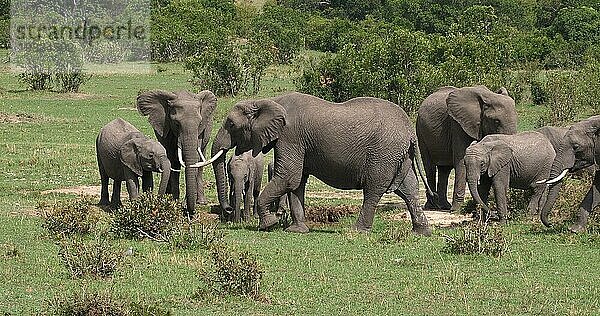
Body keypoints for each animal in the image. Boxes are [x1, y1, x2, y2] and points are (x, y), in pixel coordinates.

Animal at [210, 91, 432, 235]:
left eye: (231, 124)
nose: (227, 211)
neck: (269, 101)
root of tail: (409, 131)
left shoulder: (290, 136)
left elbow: (288, 177)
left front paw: (268, 224)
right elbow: (297, 182)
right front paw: (296, 230)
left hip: (383, 153)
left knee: (373, 189)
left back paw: (357, 231)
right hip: (397, 154)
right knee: (408, 189)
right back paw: (421, 232)